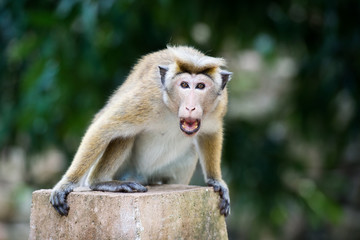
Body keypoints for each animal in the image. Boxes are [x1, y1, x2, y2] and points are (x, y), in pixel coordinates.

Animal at [50, 45, 231, 218]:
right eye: (184, 85)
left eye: (200, 86)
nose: (190, 107)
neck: (173, 111)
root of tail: (140, 177)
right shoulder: (147, 100)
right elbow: (102, 128)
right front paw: (66, 184)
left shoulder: (219, 104)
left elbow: (211, 132)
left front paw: (216, 181)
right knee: (123, 135)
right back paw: (100, 181)